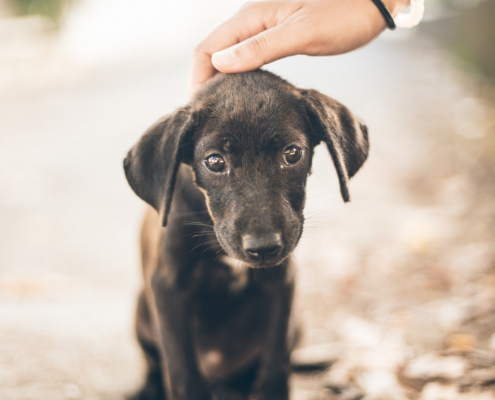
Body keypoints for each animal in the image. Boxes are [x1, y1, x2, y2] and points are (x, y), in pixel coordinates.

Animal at [125, 69, 368, 400]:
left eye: (292, 153)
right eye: (215, 161)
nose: (263, 248)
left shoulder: (281, 283)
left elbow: (275, 364)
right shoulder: (169, 286)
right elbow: (183, 372)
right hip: (142, 313)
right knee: (153, 364)